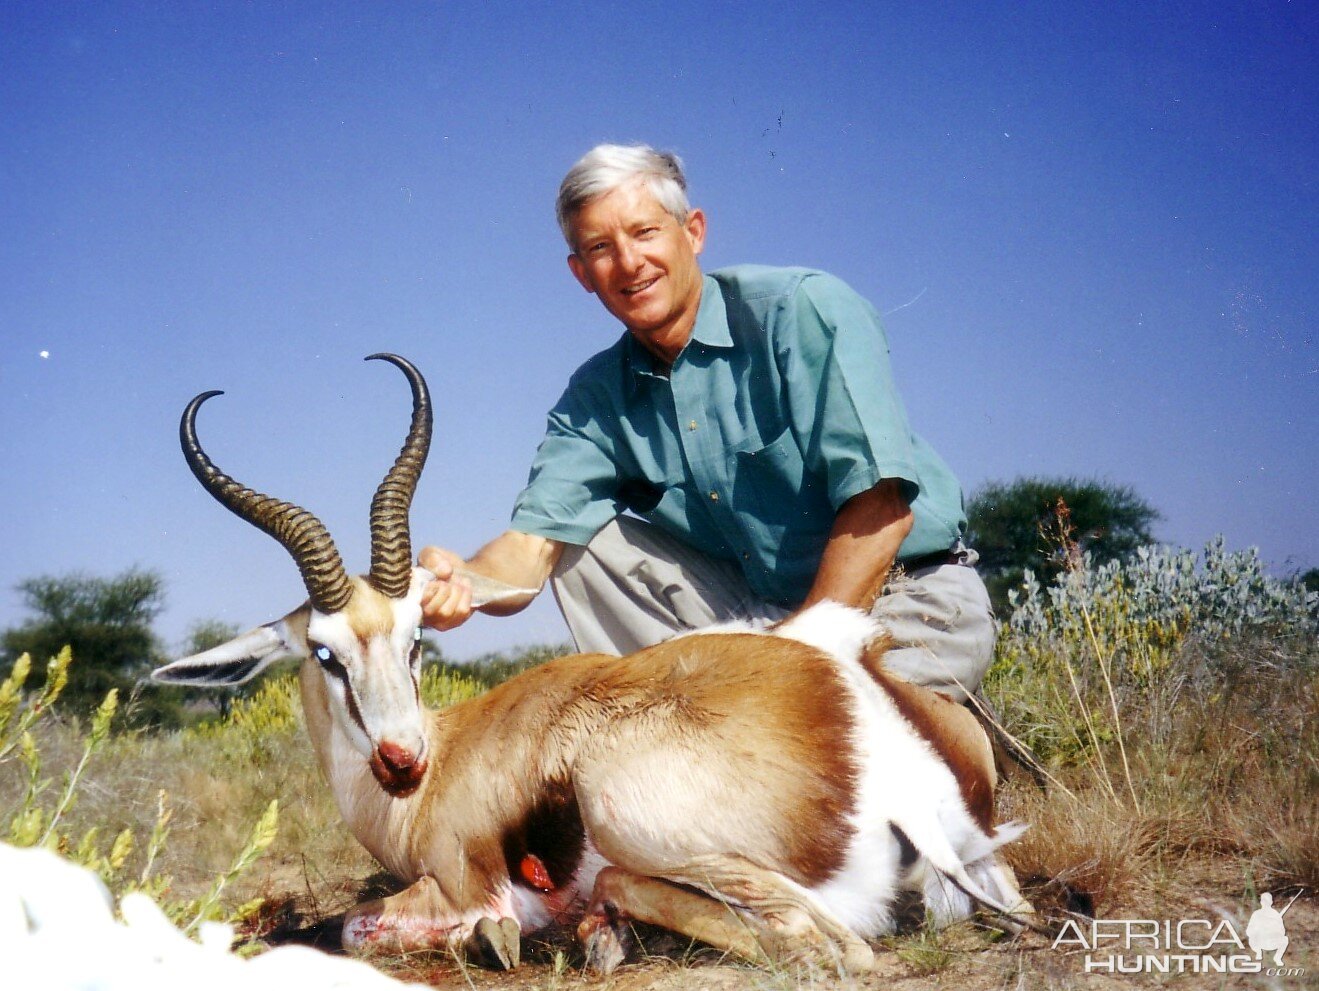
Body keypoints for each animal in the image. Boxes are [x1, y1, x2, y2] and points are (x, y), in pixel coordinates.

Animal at [154, 353, 1028, 971]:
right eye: (325, 651)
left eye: (415, 640)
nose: (402, 757)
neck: (434, 778)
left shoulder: (463, 880)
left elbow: (359, 925)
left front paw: (500, 940)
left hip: (640, 824)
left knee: (825, 944)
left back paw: (599, 933)